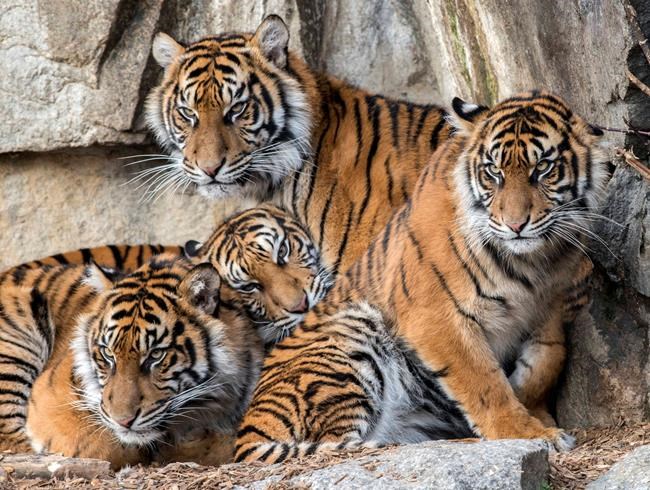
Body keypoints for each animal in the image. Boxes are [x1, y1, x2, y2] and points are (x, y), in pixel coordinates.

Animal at [234, 91, 608, 463]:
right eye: (493, 171)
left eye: (543, 168)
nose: (515, 225)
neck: (533, 261)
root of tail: (245, 433)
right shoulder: (434, 315)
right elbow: (484, 382)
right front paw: (526, 432)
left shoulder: (549, 308)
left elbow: (546, 363)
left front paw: (538, 414)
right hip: (353, 330)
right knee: (340, 445)